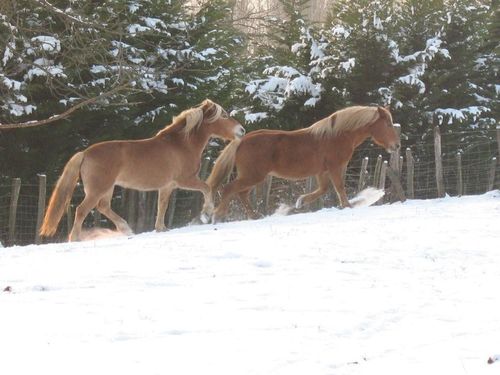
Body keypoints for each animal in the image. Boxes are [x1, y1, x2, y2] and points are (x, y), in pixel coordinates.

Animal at [39, 99, 244, 241]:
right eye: (224, 115)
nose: (241, 130)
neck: (181, 144)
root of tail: (85, 153)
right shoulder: (185, 180)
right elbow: (207, 188)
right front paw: (206, 213)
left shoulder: (167, 186)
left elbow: (162, 206)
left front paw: (161, 228)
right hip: (98, 189)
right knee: (82, 210)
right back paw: (75, 238)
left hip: (107, 188)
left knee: (103, 207)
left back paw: (126, 229)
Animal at [201, 106, 400, 223]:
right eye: (388, 124)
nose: (396, 145)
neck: (337, 135)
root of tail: (242, 140)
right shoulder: (335, 167)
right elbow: (339, 188)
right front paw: (349, 206)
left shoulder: (322, 171)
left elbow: (324, 189)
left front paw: (299, 202)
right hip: (253, 176)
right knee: (229, 189)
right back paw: (217, 216)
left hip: (253, 177)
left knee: (241, 194)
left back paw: (254, 216)